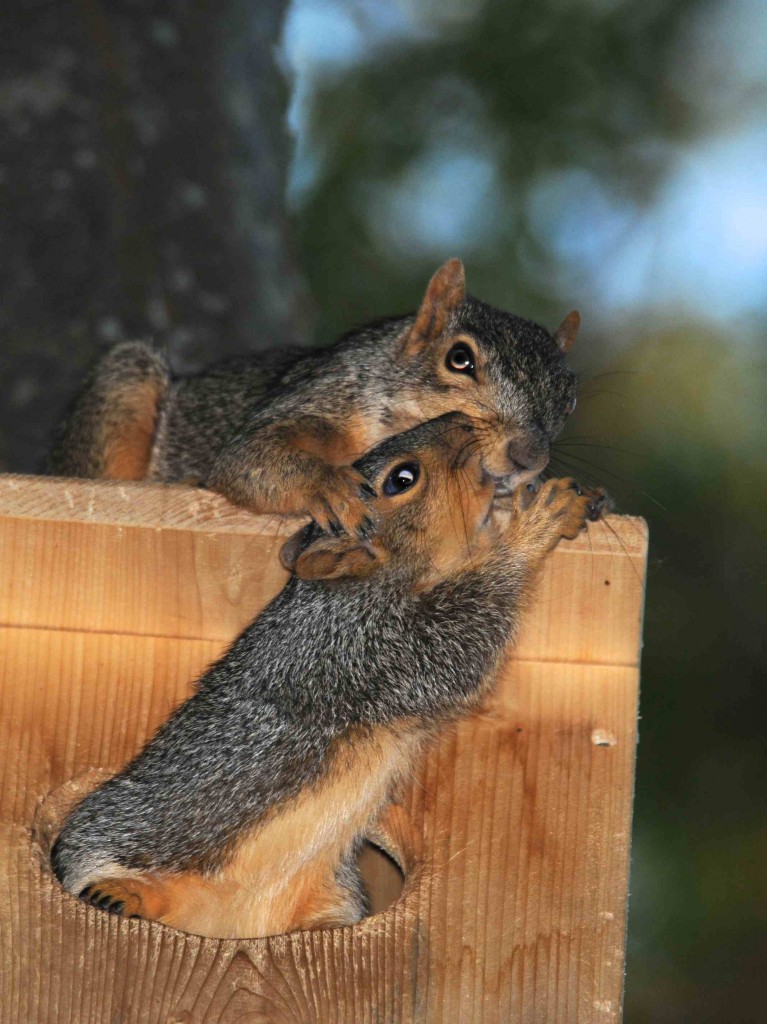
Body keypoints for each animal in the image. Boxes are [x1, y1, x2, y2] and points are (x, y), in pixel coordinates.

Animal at [44, 260, 577, 536]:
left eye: (569, 398)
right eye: (459, 358)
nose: (527, 455)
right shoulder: (320, 396)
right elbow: (248, 458)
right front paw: (329, 486)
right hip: (124, 387)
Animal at [50, 413, 606, 937]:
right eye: (402, 478)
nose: (463, 420)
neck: (362, 586)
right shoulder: (355, 650)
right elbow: (454, 647)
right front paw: (532, 526)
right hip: (112, 838)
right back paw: (120, 893)